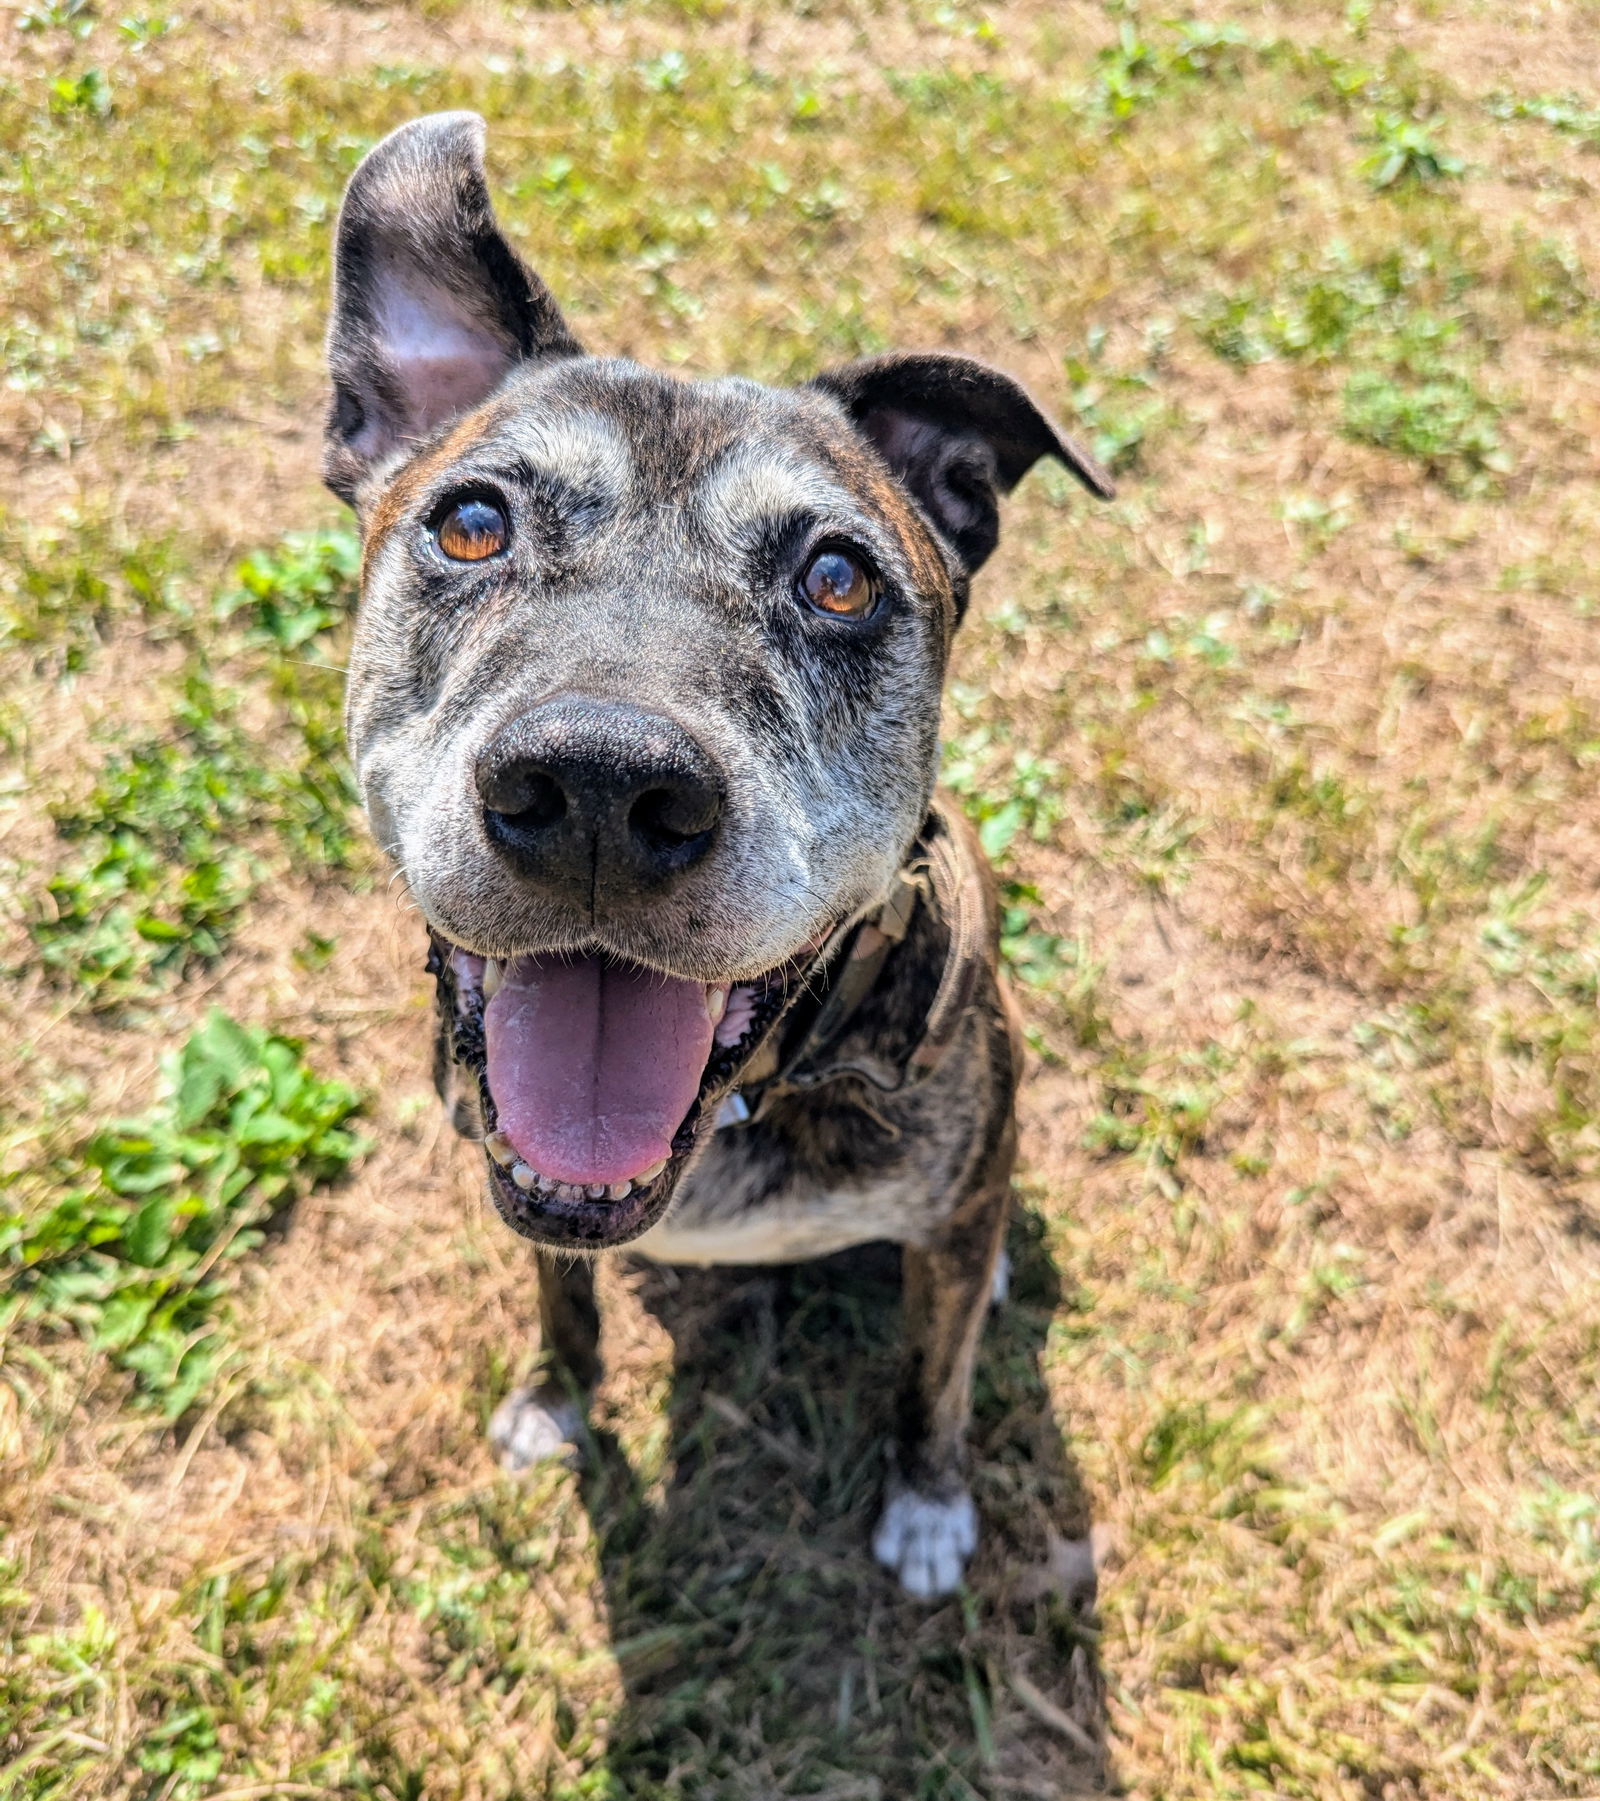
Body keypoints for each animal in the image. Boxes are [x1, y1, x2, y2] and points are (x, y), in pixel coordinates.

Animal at [318, 112, 1102, 1599]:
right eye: (470, 523)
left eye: (839, 577)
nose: (599, 787)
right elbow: (560, 1299)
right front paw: (555, 1401)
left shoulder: (945, 1213)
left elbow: (931, 1377)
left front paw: (928, 1503)